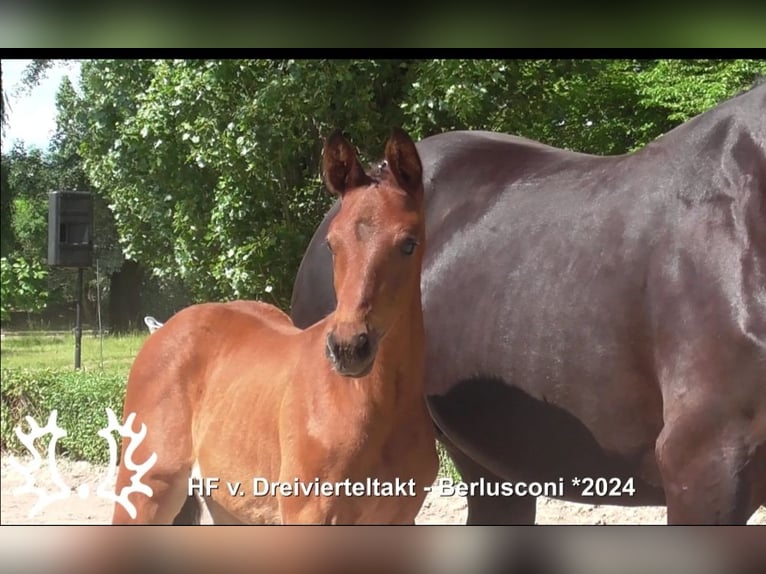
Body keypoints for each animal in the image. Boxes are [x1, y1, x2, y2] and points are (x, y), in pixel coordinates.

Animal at [112, 130, 440, 528]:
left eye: (409, 243)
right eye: (332, 243)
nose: (348, 348)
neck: (374, 405)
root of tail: (163, 329)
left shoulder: (399, 518)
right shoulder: (308, 516)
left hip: (228, 505)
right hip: (145, 493)